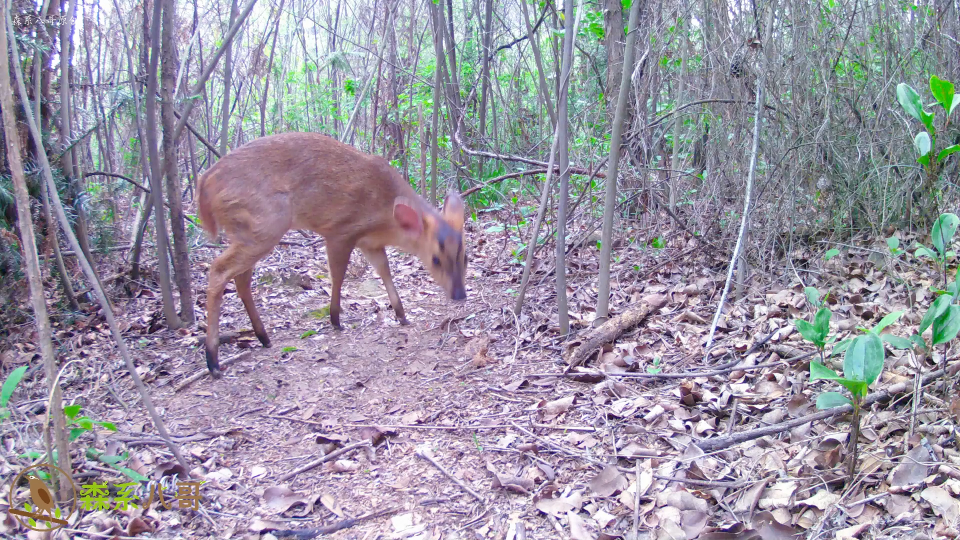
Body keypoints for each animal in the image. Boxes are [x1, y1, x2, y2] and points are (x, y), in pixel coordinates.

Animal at [197, 131, 466, 378]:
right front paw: (336, 319)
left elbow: (385, 271)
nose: (459, 294)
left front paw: (401, 315)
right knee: (218, 269)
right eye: (435, 259)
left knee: (240, 278)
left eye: (464, 257)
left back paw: (263, 337)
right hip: (265, 225)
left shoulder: (370, 243)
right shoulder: (340, 231)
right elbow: (338, 276)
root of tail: (205, 184)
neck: (385, 217)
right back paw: (213, 360)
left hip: (250, 231)